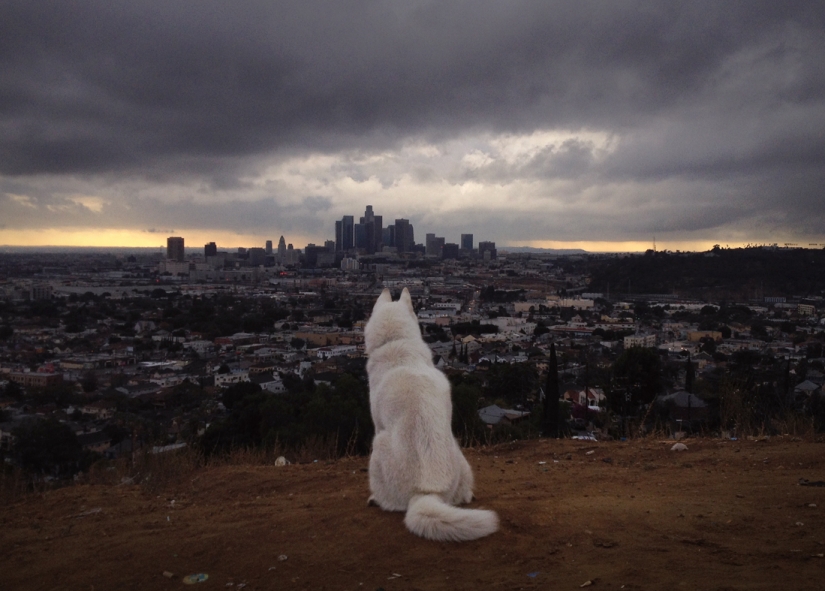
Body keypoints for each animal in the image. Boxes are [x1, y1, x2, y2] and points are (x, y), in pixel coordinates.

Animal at [365, 288, 498, 542]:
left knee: (390, 502)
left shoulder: (377, 423)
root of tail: (427, 493)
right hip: (460, 455)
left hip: (378, 447)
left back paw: (375, 499)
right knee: (463, 496)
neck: (397, 343)